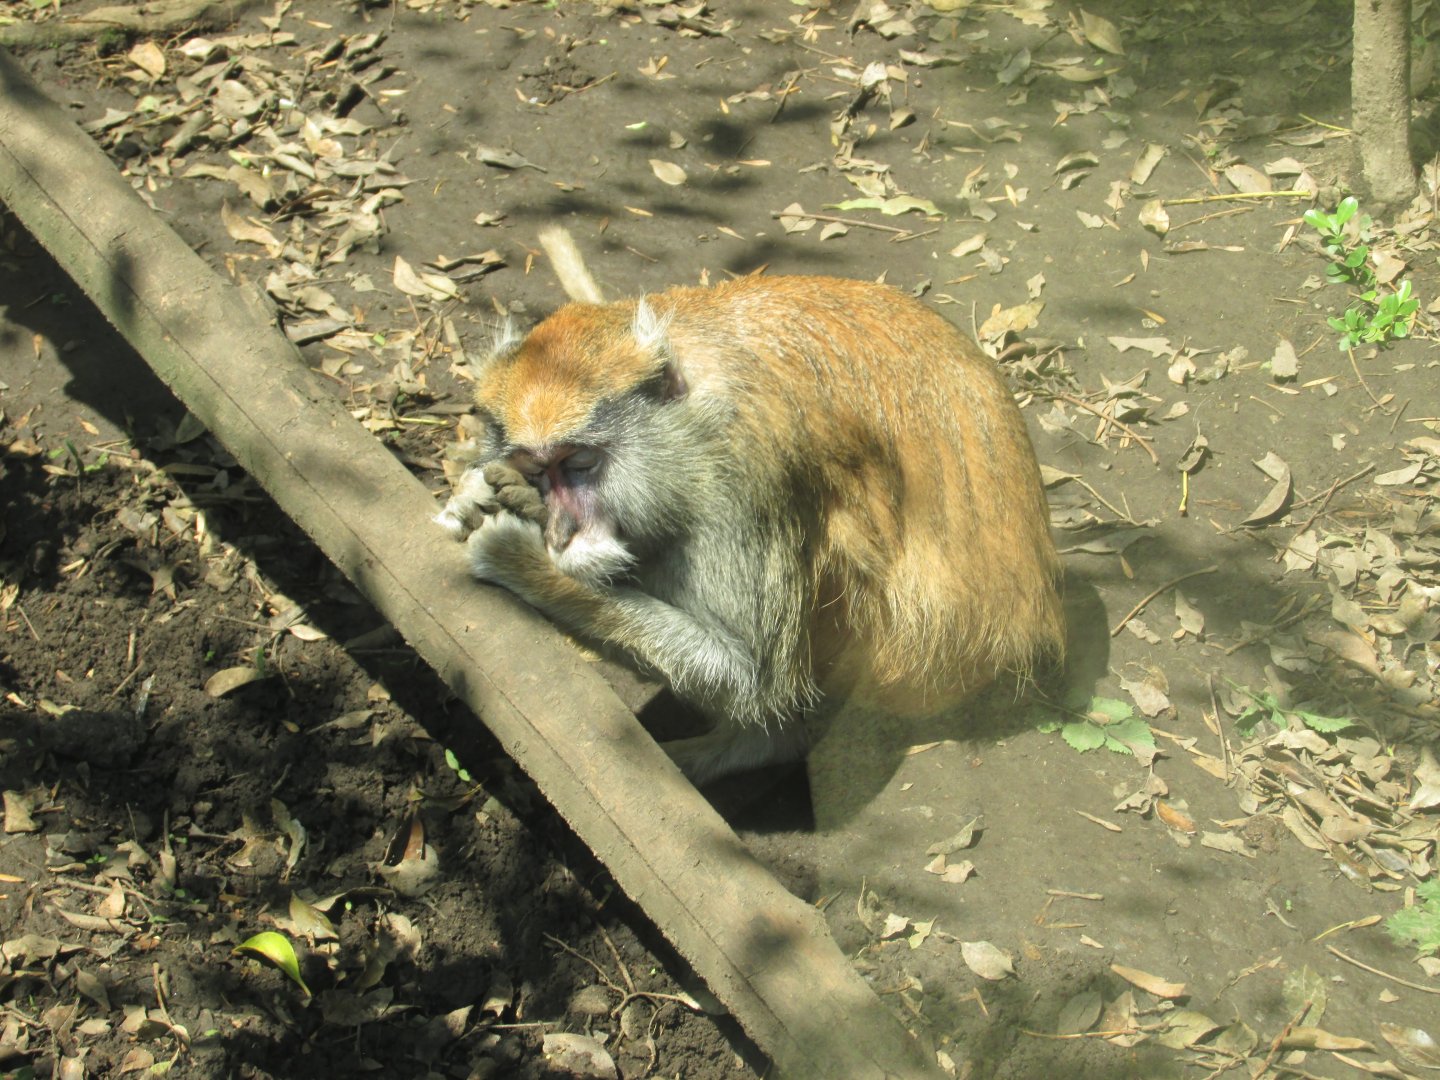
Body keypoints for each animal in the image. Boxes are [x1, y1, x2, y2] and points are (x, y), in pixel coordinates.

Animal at [437, 260, 1065, 785]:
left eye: (581, 463)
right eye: (539, 470)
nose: (564, 531)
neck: (688, 401)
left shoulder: (745, 470)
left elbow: (750, 678)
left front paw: (517, 558)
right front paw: (482, 493)